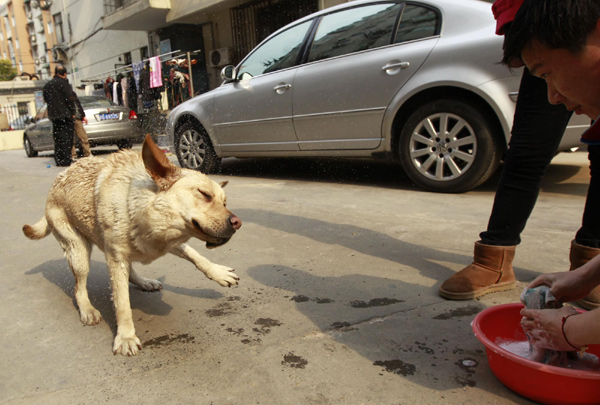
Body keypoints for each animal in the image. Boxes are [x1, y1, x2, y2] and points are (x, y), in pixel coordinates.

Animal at [25, 135, 241, 354]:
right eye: (204, 194)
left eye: (224, 203)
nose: (237, 223)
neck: (140, 210)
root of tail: (58, 179)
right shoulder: (117, 257)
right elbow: (122, 302)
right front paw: (126, 336)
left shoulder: (165, 241)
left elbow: (196, 256)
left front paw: (217, 272)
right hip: (78, 253)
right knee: (79, 287)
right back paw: (87, 308)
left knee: (128, 271)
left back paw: (144, 281)